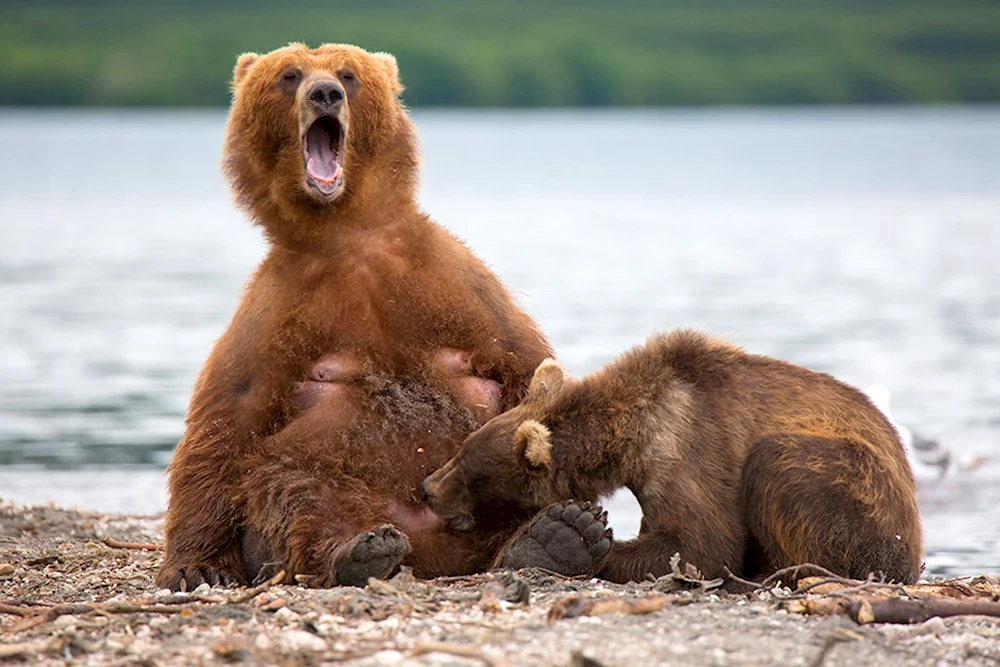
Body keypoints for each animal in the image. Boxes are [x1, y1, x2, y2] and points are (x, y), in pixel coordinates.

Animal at [154, 44, 556, 592]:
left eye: (348, 74)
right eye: (289, 75)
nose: (325, 93)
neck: (346, 232)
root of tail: (436, 557)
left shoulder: (458, 285)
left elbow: (525, 364)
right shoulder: (274, 311)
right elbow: (225, 419)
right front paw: (196, 565)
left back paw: (555, 535)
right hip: (334, 475)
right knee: (293, 486)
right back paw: (362, 550)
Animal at [420, 332, 920, 588]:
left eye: (470, 470)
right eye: (462, 450)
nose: (427, 488)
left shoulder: (689, 445)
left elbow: (701, 544)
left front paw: (576, 542)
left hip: (858, 491)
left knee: (781, 468)